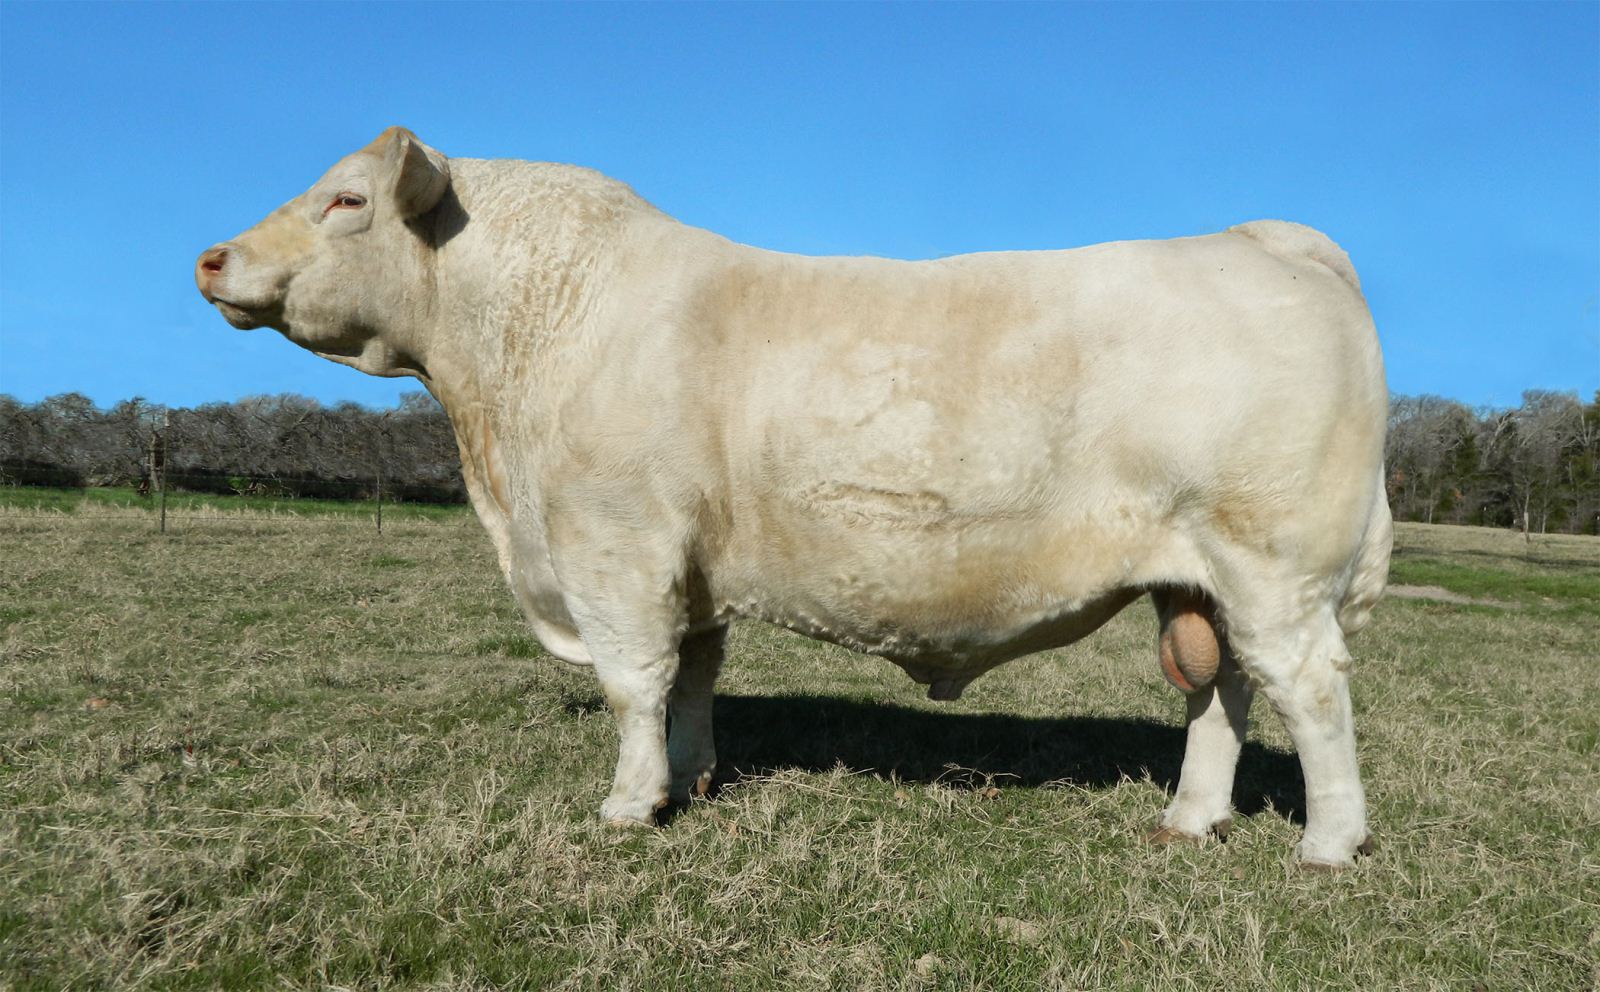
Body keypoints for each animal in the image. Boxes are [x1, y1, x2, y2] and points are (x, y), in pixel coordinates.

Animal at [196, 128, 1388, 864]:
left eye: (347, 198)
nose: (211, 257)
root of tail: (1267, 239)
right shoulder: (686, 569)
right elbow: (690, 681)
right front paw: (687, 783)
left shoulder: (613, 548)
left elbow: (632, 683)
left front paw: (626, 807)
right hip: (1207, 579)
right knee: (1222, 691)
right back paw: (1190, 818)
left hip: (1272, 566)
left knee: (1309, 689)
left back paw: (1328, 844)